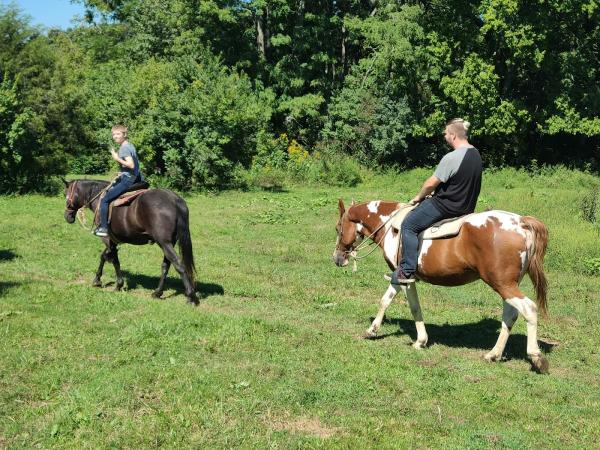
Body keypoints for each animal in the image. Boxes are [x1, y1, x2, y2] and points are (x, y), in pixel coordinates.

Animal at [64, 181, 198, 304]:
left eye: (66, 194)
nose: (67, 216)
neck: (100, 199)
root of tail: (175, 200)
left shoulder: (107, 239)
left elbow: (113, 260)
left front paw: (117, 284)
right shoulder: (113, 241)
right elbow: (104, 256)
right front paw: (97, 280)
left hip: (164, 243)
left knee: (179, 265)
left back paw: (191, 296)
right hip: (169, 243)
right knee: (166, 265)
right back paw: (157, 292)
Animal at [332, 200, 548, 372]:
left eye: (338, 228)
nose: (337, 258)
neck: (390, 226)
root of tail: (521, 222)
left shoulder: (404, 277)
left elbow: (413, 307)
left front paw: (419, 341)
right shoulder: (399, 277)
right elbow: (386, 300)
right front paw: (372, 330)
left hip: (502, 284)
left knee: (529, 309)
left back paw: (536, 357)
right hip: (507, 284)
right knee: (510, 315)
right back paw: (493, 354)